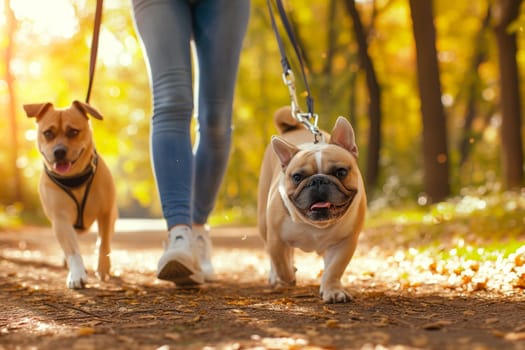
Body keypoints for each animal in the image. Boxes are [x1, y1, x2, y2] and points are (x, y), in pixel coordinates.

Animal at [24, 100, 117, 288]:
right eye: (48, 133)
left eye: (73, 132)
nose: (59, 151)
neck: (74, 179)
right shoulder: (60, 219)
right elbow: (72, 250)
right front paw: (77, 274)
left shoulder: (106, 212)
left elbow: (104, 243)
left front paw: (103, 267)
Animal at [256, 107, 364, 304]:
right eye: (297, 177)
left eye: (341, 172)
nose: (318, 180)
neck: (315, 226)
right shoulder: (276, 239)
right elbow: (281, 264)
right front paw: (288, 276)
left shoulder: (345, 243)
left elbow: (334, 269)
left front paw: (332, 290)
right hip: (263, 224)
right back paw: (276, 277)